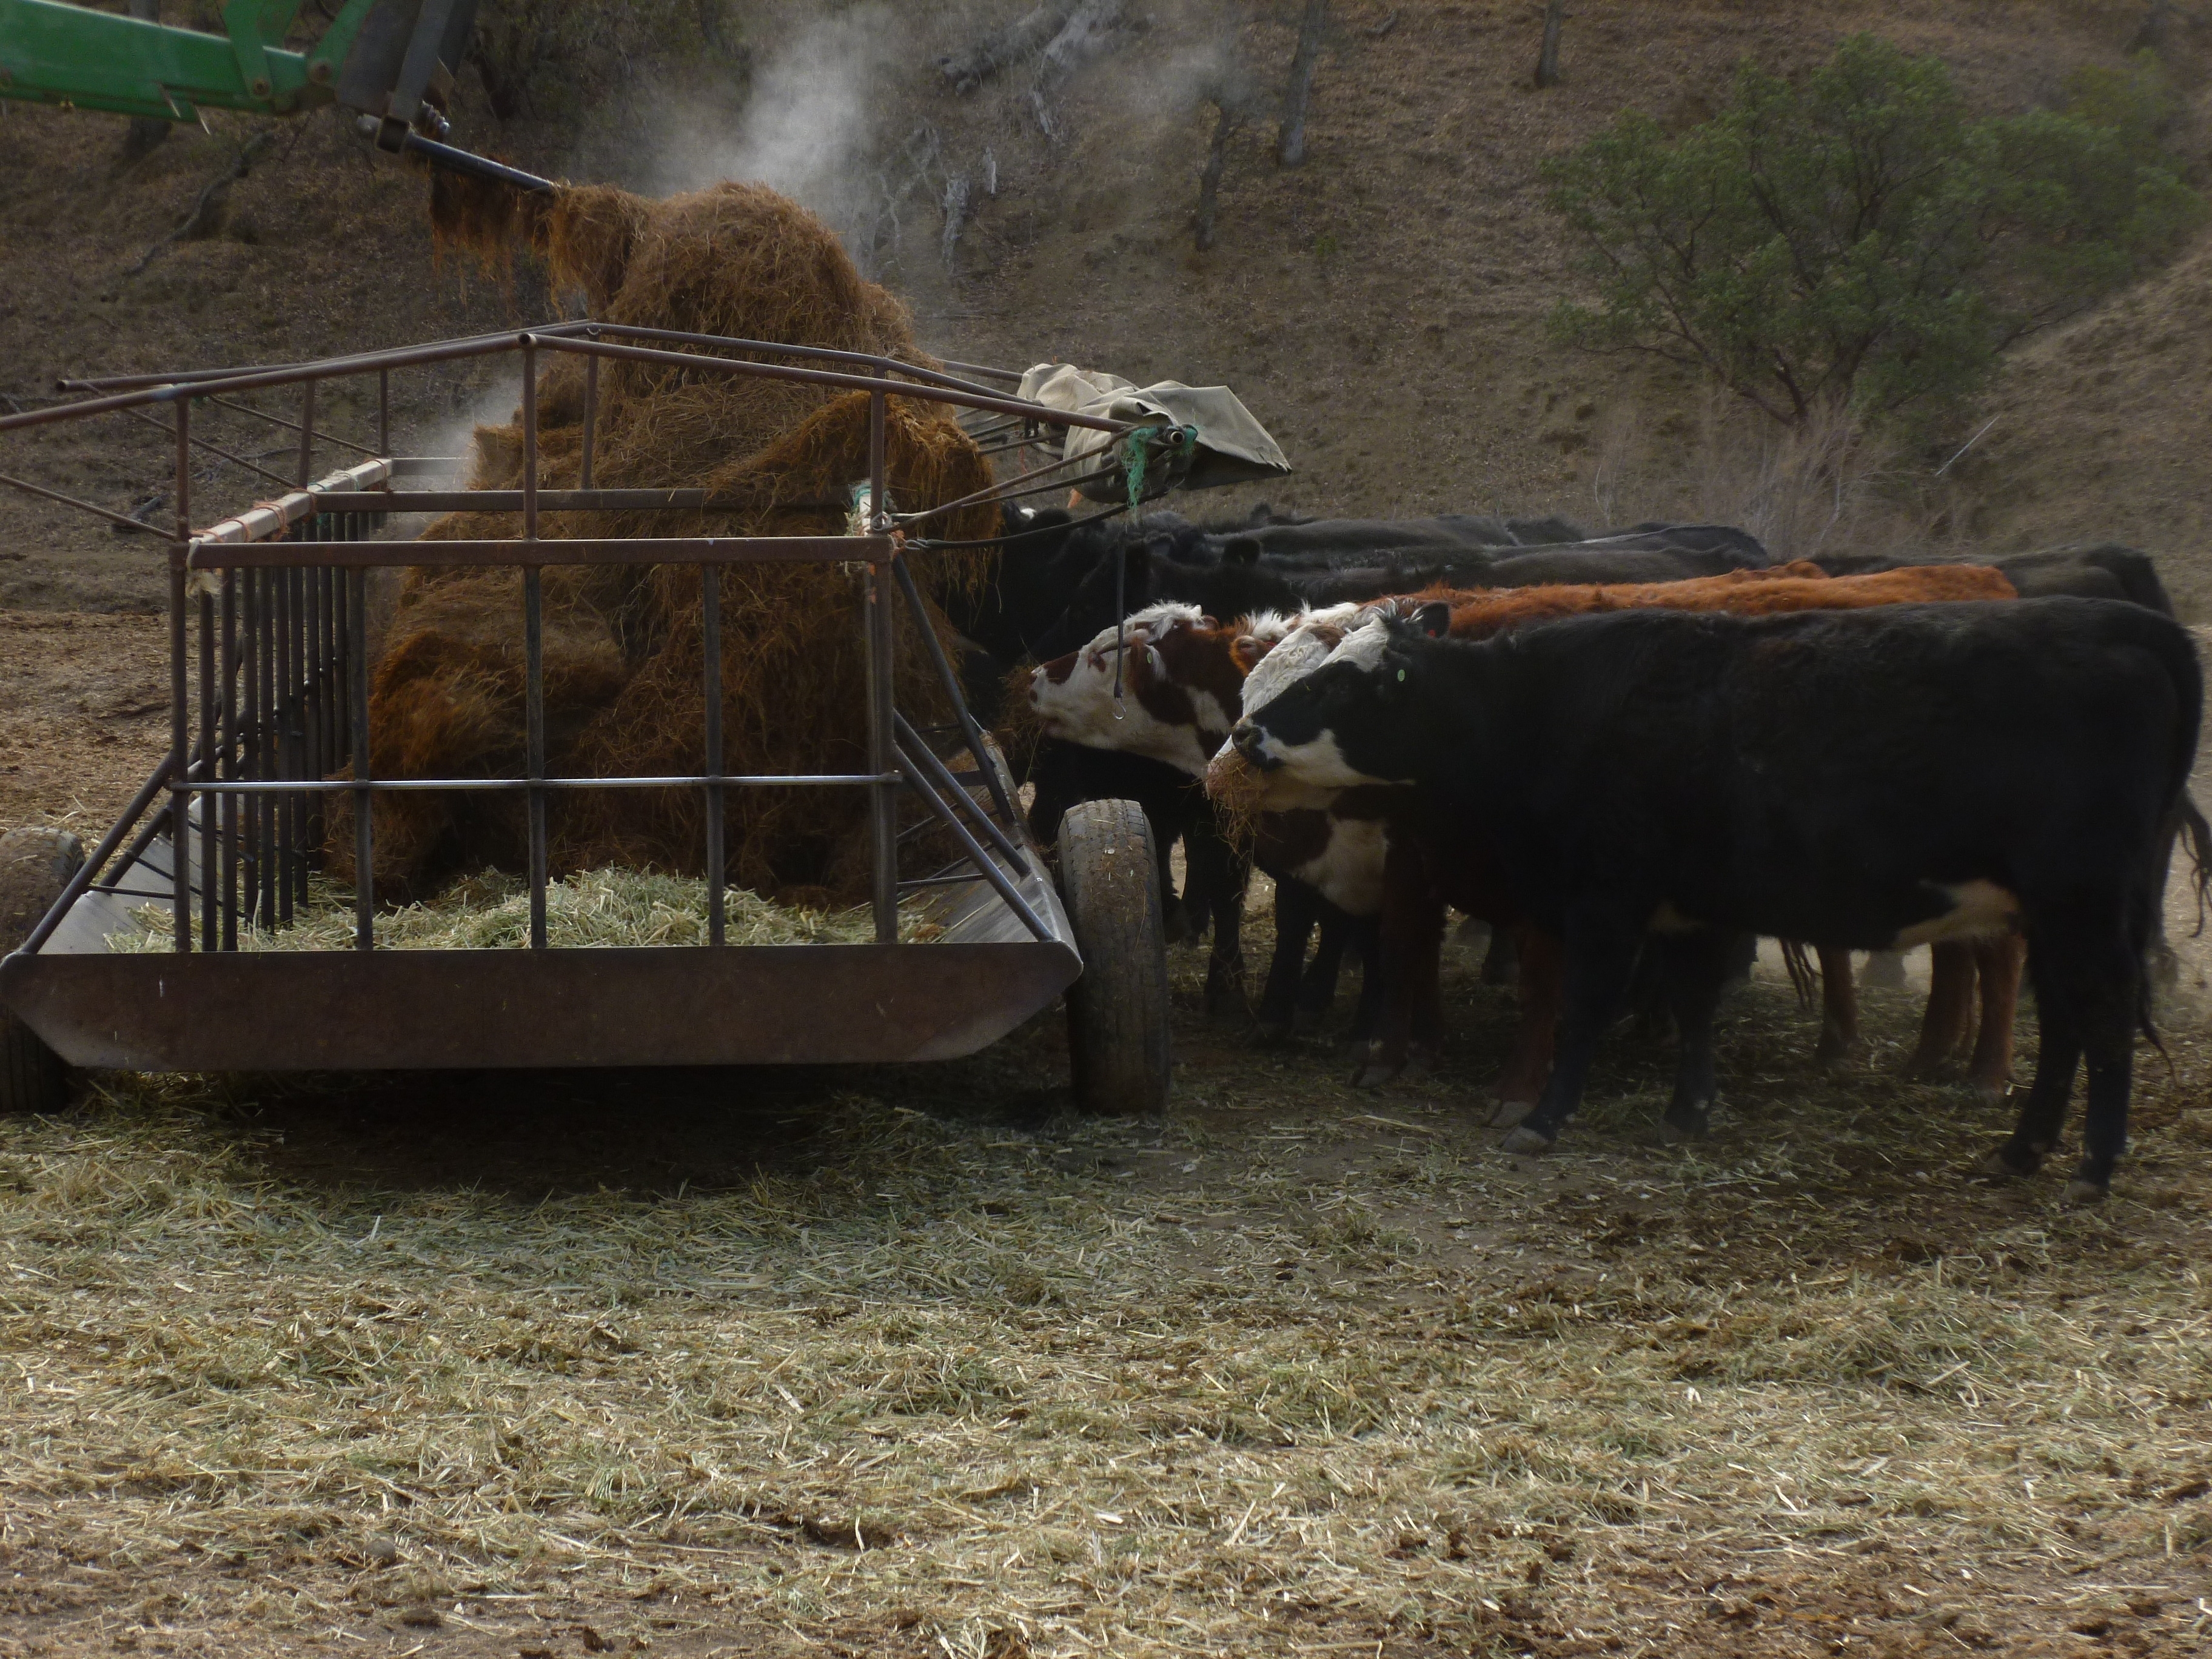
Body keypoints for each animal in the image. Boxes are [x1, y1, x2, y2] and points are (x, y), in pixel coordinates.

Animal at [1238, 606, 2203, 1203]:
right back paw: (2023, 1149)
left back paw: (2091, 1168)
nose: (1245, 734)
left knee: (2104, 1020)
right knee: (2069, 1024)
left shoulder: (1606, 902)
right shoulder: (1693, 909)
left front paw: (1545, 1118)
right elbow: (1696, 1006)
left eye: (1334, 685)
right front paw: (1688, 1111)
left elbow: (1584, 1011)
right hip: (2054, 916)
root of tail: (2127, 623)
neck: (1542, 709)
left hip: (2083, 906)